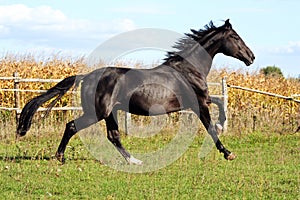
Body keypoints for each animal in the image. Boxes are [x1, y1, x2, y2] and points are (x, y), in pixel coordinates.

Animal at [15, 19, 255, 165]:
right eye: (235, 37)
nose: (251, 57)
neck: (189, 68)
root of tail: (87, 76)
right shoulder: (199, 103)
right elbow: (211, 127)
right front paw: (228, 151)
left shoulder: (199, 101)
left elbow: (220, 103)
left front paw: (222, 126)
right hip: (98, 113)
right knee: (72, 126)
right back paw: (60, 157)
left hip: (109, 113)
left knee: (113, 136)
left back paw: (134, 161)